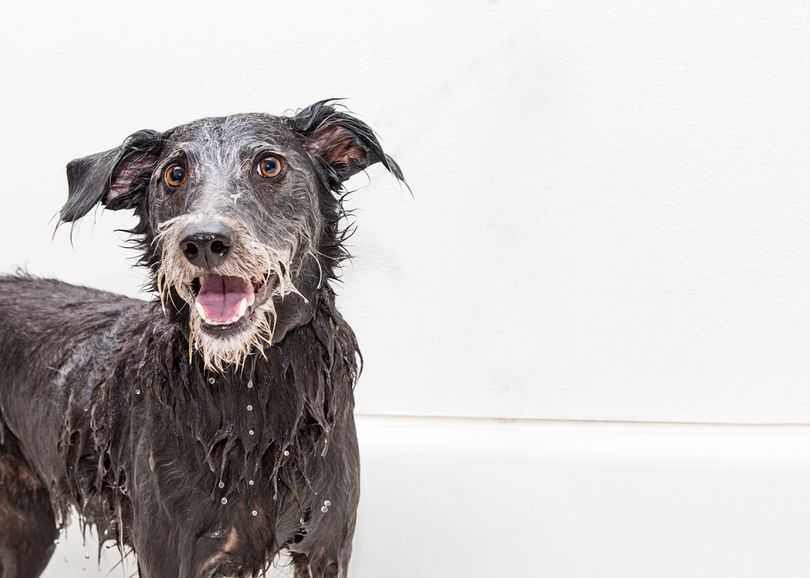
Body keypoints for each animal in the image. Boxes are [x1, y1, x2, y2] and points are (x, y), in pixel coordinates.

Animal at [0, 101, 404, 572]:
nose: (203, 240)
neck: (252, 388)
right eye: (174, 174)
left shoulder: (327, 549)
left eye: (269, 165)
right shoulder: (170, 558)